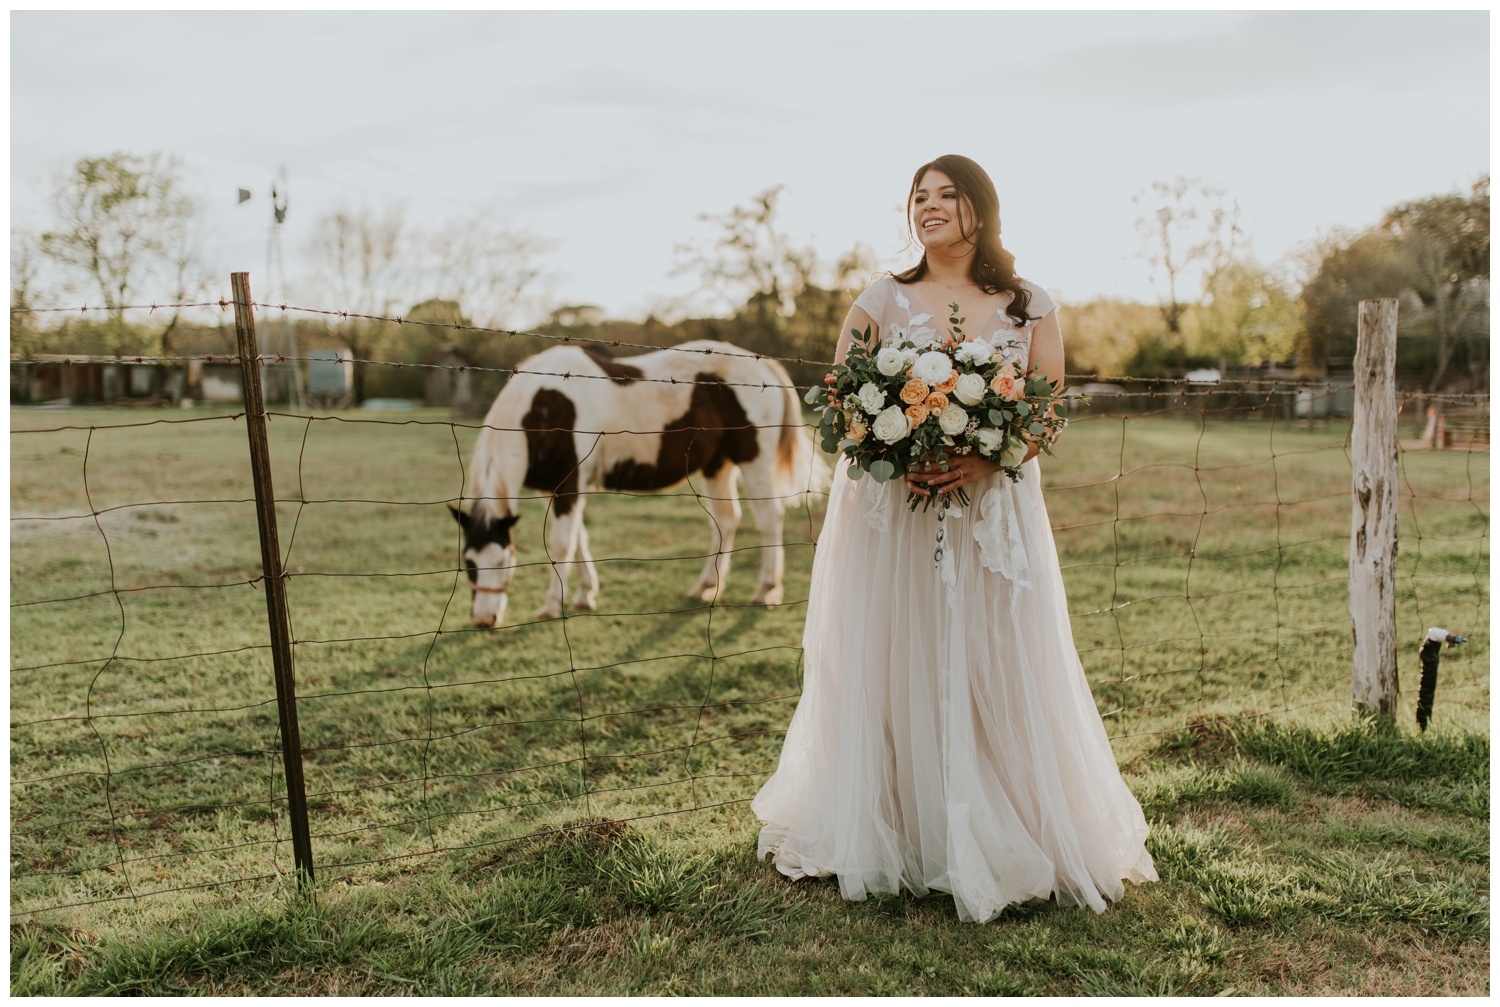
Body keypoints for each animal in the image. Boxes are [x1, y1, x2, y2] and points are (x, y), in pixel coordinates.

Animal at [450, 342, 828, 627]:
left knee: (769, 518)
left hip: (754, 462)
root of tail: (765, 367)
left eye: (504, 561)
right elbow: (578, 539)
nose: (484, 620)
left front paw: (552, 605)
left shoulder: (568, 484)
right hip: (716, 466)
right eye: (469, 562)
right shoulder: (553, 489)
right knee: (727, 520)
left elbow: (561, 545)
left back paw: (766, 590)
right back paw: (706, 587)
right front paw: (585, 595)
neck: (542, 405)